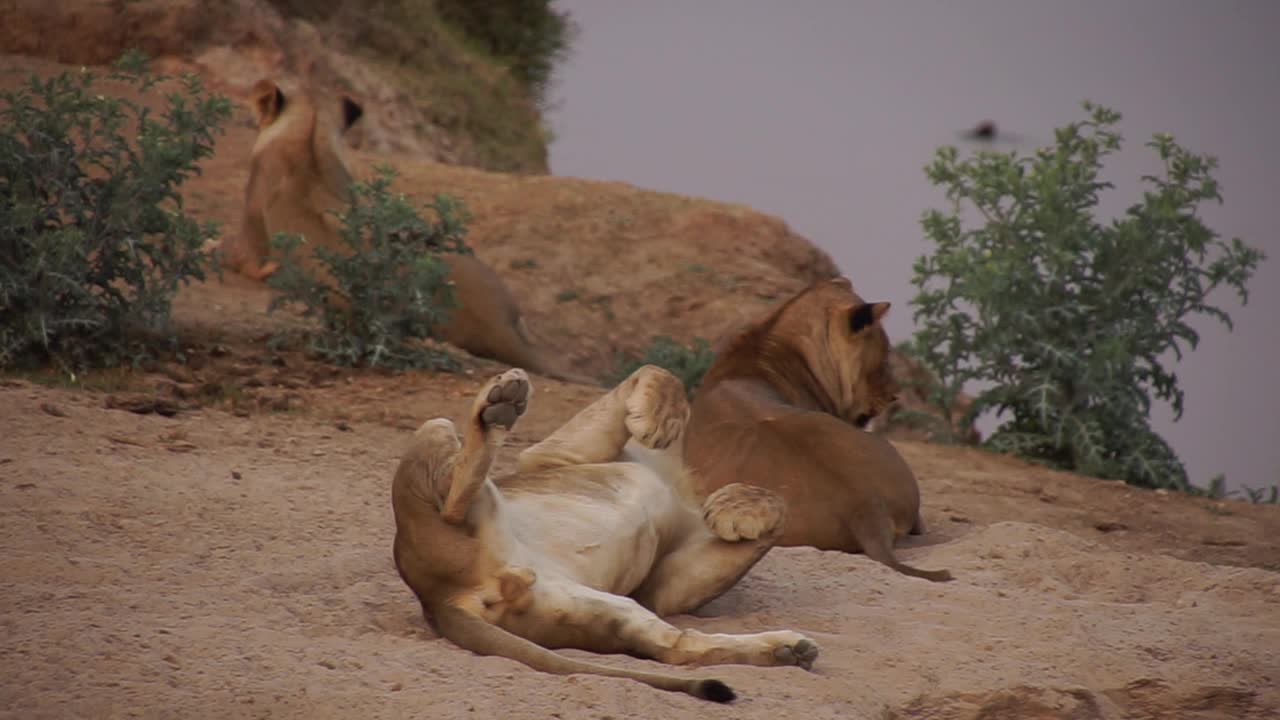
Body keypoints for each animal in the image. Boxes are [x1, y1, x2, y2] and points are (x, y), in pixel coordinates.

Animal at [389, 361, 819, 696]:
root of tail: (438, 601)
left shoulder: (660, 588)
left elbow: (781, 505)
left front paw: (740, 510)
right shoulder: (549, 456)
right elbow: (655, 371)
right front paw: (661, 420)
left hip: (601, 608)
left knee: (677, 646)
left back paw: (788, 649)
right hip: (435, 427)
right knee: (454, 495)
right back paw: (500, 403)